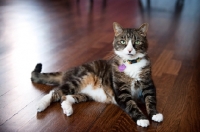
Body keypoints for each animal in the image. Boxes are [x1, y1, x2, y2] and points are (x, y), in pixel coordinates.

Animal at [30, 22, 162, 127]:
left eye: (137, 42)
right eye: (123, 41)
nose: (129, 50)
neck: (132, 64)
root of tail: (68, 71)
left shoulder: (148, 84)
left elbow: (150, 98)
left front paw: (154, 114)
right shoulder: (121, 91)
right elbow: (131, 104)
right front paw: (142, 119)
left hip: (85, 94)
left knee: (66, 97)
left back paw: (67, 108)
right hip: (81, 78)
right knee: (55, 92)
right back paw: (41, 104)